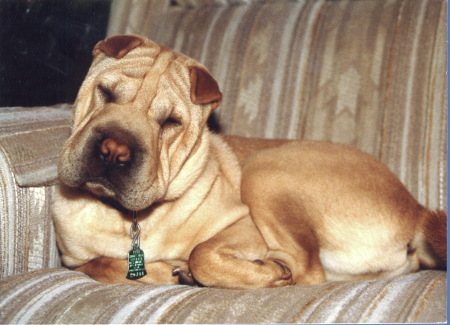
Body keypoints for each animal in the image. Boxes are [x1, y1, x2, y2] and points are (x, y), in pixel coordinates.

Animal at [51, 35, 444, 288]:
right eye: (105, 93)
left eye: (170, 122)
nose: (113, 150)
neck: (127, 220)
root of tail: (417, 210)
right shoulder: (74, 257)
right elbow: (98, 264)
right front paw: (164, 271)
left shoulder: (244, 225)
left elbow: (202, 252)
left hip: (265, 171)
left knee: (308, 273)